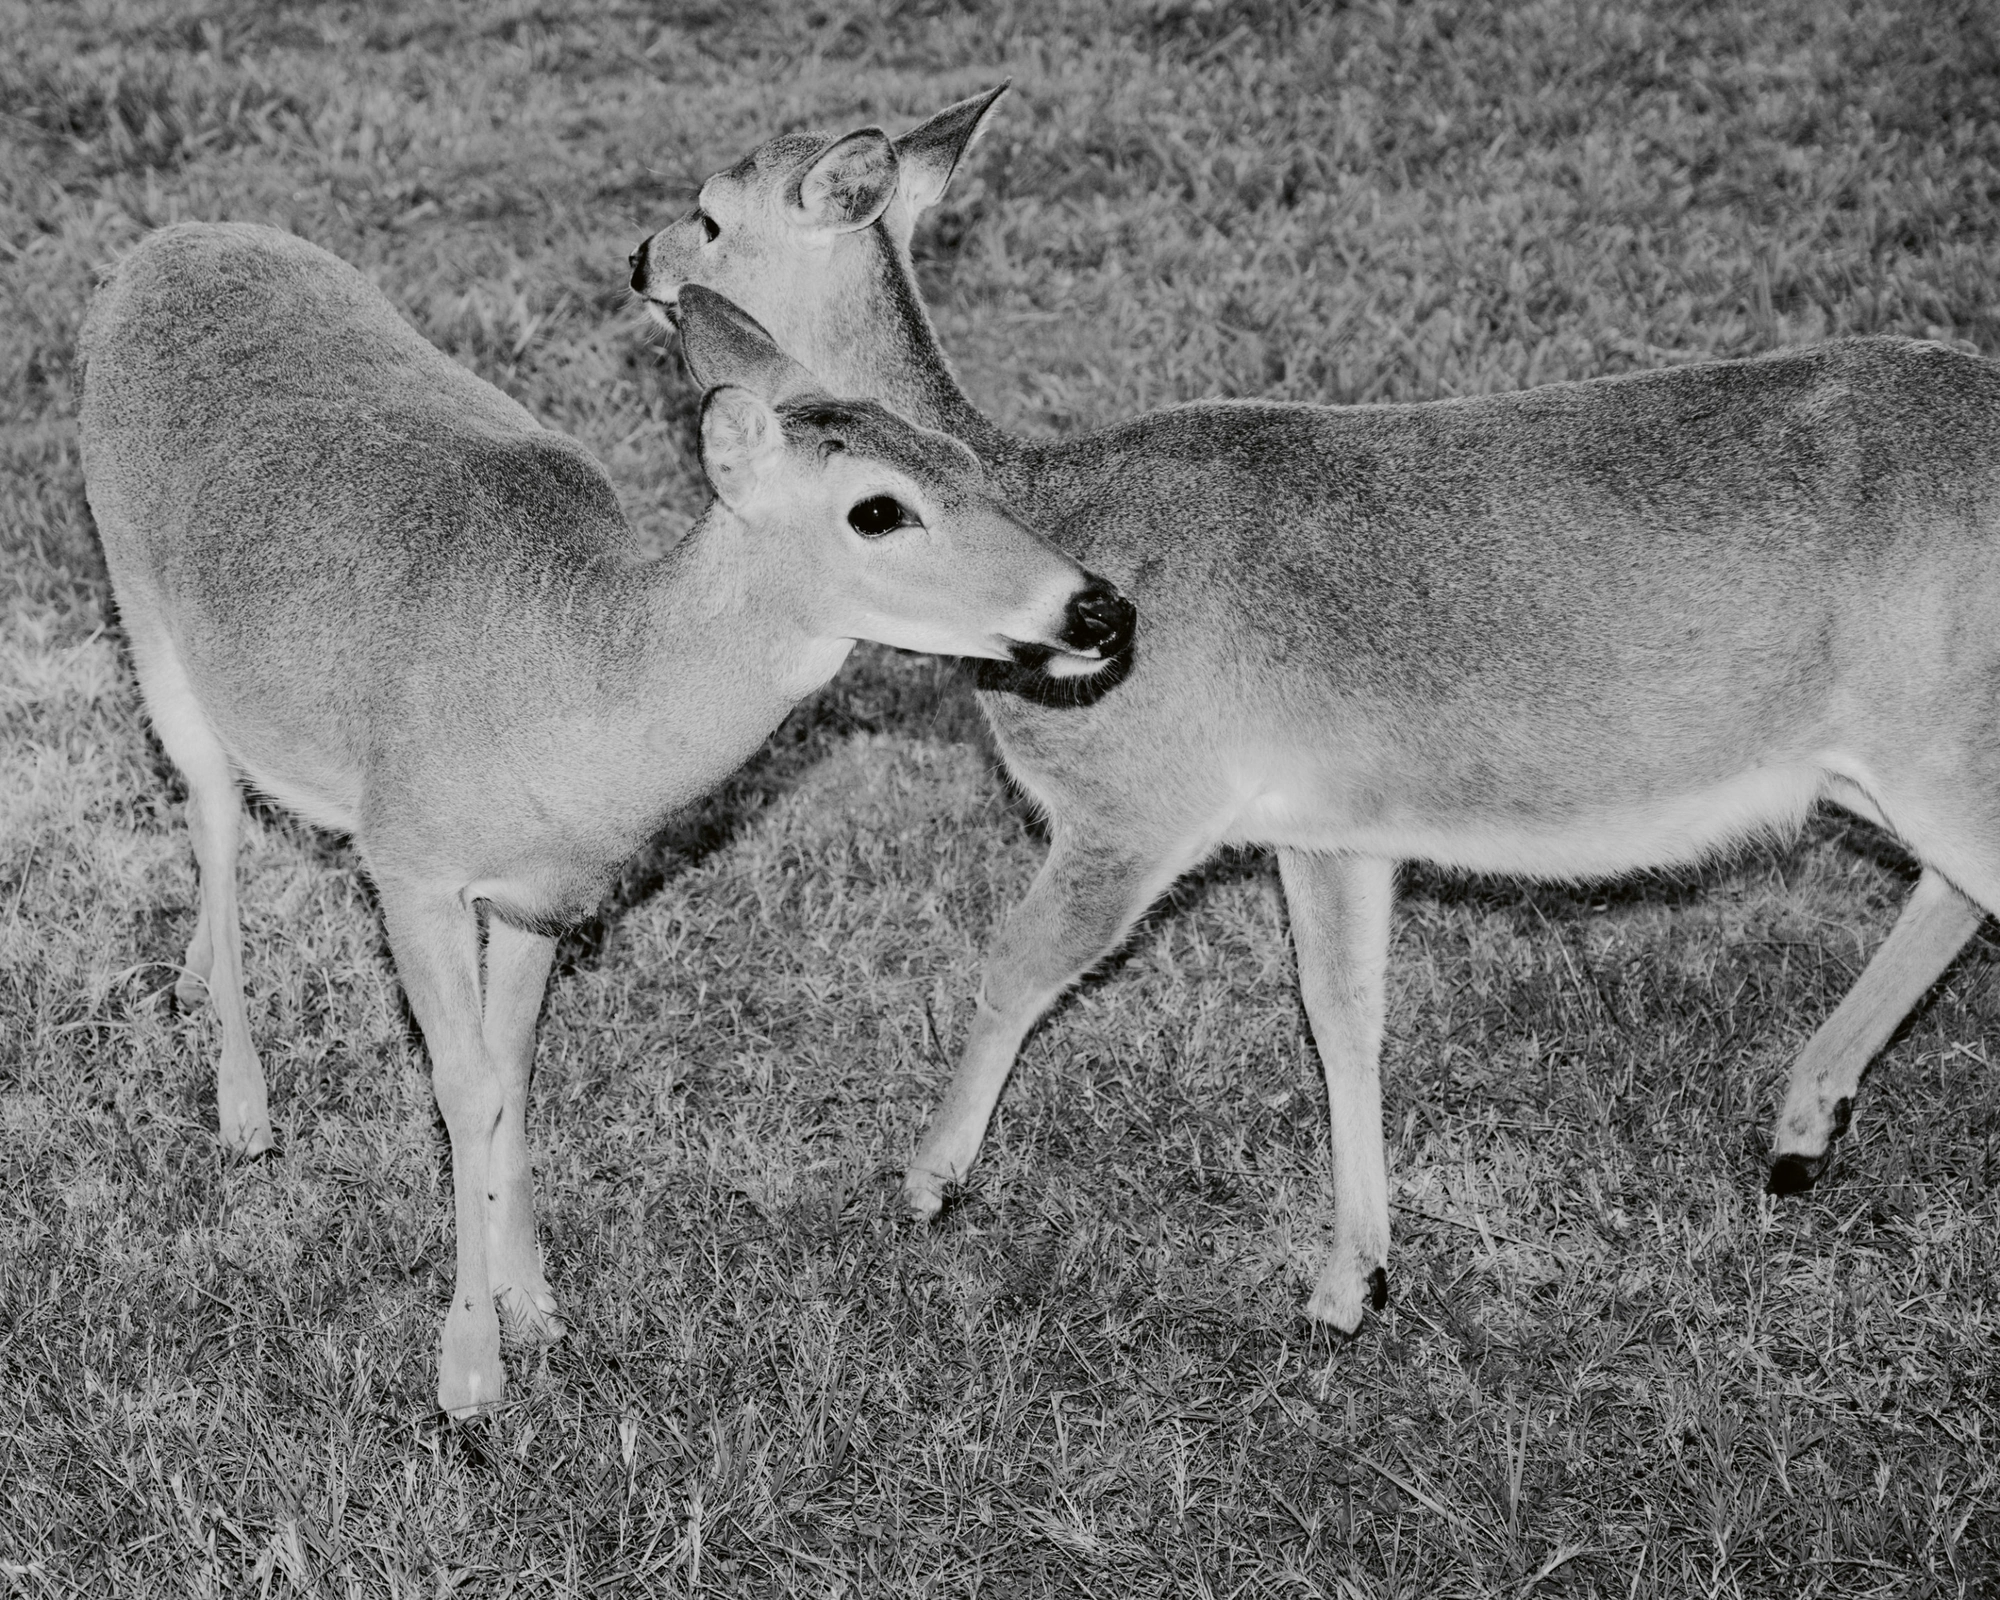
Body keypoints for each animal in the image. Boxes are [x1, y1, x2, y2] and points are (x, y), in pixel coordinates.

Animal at [78, 221, 1135, 1415]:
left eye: (959, 455)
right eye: (876, 510)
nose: (1100, 609)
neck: (573, 697)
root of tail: (162, 247)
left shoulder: (544, 894)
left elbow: (511, 1078)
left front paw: (533, 1302)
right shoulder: (408, 857)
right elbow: (461, 1084)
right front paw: (468, 1367)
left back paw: (195, 990)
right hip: (140, 597)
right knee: (211, 810)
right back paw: (243, 1105)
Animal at [629, 86, 2000, 1333]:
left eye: (709, 211)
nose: (638, 260)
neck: (1041, 502)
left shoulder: (1140, 796)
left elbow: (1015, 967)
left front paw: (925, 1180)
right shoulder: (1327, 821)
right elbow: (1342, 1013)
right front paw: (1354, 1280)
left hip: (1939, 732)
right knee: (1950, 888)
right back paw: (1800, 1128)